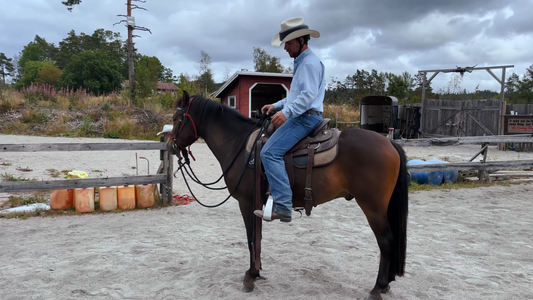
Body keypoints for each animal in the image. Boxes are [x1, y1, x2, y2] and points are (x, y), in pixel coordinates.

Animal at [170, 92, 408, 300]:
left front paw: (251, 276)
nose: (171, 146)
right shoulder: (257, 204)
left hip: (372, 206)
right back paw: (385, 284)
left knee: (386, 241)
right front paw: (257, 272)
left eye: (176, 118)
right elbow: (258, 238)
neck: (238, 144)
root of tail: (389, 142)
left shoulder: (246, 203)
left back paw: (377, 288)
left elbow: (251, 238)